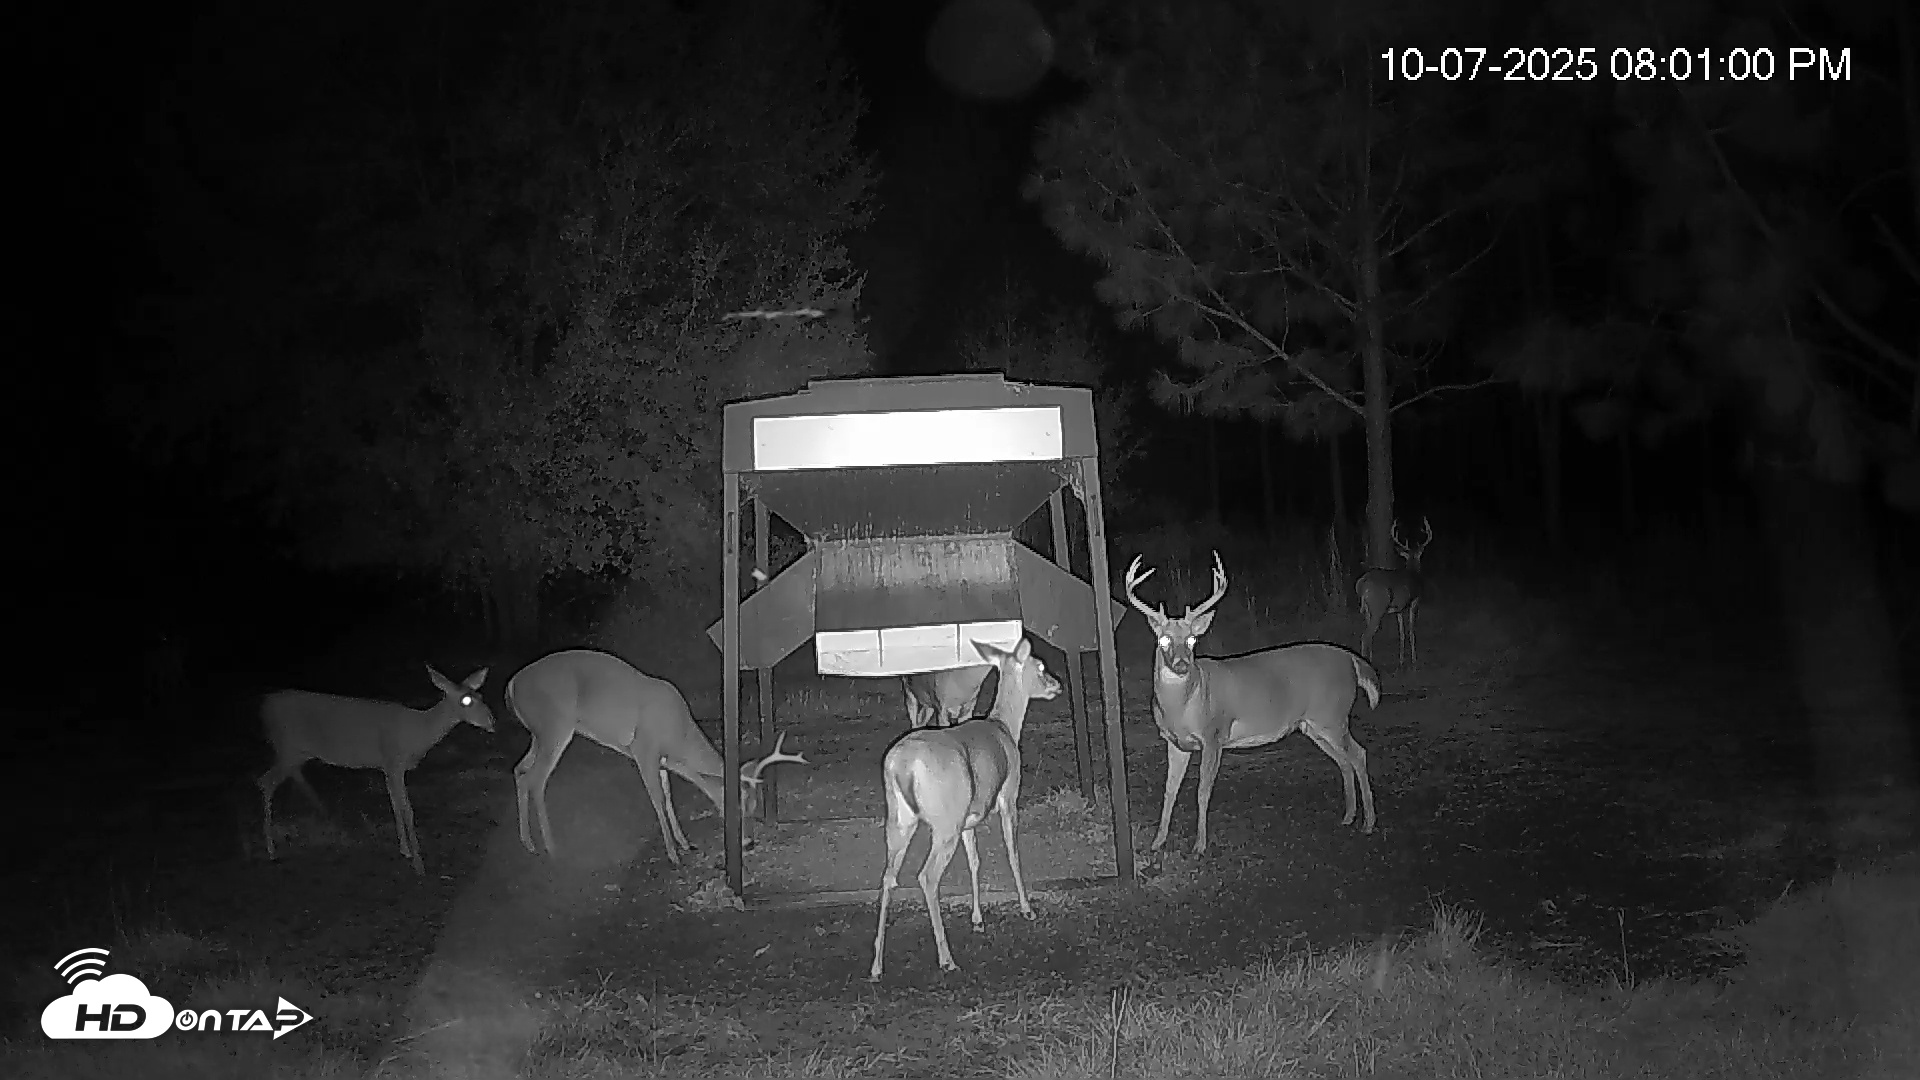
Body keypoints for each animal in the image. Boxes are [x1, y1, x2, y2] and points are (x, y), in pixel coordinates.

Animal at [258, 665, 496, 875]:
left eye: (480, 695)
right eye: (466, 700)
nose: (492, 721)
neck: (417, 733)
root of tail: (265, 706)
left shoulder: (388, 767)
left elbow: (396, 805)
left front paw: (405, 850)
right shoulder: (394, 762)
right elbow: (407, 809)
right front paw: (418, 863)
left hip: (297, 753)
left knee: (282, 777)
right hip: (287, 747)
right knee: (265, 781)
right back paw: (271, 849)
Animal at [505, 648, 808, 865]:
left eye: (755, 807)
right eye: (737, 806)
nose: (749, 842)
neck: (679, 736)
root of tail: (511, 685)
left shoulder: (663, 758)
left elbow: (668, 794)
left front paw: (685, 843)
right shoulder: (643, 748)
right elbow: (658, 798)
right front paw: (673, 854)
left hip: (538, 734)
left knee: (519, 770)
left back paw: (528, 843)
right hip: (554, 727)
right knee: (536, 779)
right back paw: (551, 847)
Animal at [869, 637, 1060, 981]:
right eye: (1039, 666)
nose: (1056, 684)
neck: (1004, 727)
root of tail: (900, 766)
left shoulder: (970, 819)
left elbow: (975, 860)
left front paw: (977, 918)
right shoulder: (1008, 796)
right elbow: (1012, 851)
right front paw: (1027, 908)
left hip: (900, 821)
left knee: (888, 877)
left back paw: (877, 965)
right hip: (944, 824)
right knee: (927, 876)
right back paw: (947, 959)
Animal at [1124, 552, 1380, 856]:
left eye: (1192, 639)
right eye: (1163, 639)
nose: (1182, 664)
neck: (1184, 705)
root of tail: (1352, 660)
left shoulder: (1214, 736)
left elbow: (1202, 791)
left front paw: (1199, 846)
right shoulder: (1175, 743)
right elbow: (1169, 791)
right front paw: (1157, 841)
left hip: (1333, 715)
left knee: (1358, 754)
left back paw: (1368, 823)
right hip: (1313, 725)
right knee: (1343, 760)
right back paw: (1348, 817)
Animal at [1356, 516, 1433, 667]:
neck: (1413, 573)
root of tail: (1363, 583)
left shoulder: (1399, 609)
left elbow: (1401, 633)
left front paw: (1401, 660)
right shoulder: (1414, 601)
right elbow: (1411, 631)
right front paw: (1414, 660)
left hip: (1367, 610)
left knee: (1369, 635)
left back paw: (1370, 659)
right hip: (1378, 607)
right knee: (1365, 636)